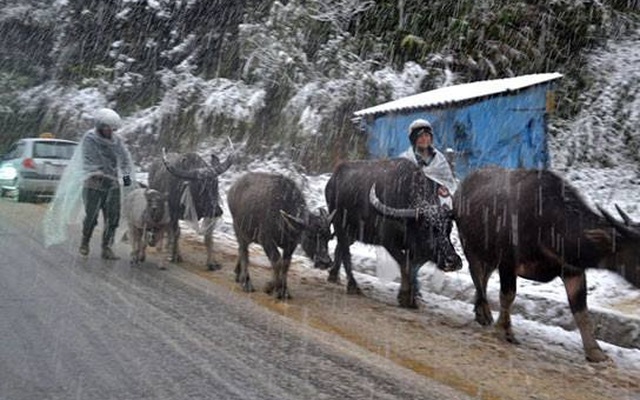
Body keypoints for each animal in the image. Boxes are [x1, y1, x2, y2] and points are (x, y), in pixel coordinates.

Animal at [226, 172, 336, 300]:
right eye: (310, 235)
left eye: (329, 237)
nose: (325, 262)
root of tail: (233, 188)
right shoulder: (266, 240)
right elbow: (277, 261)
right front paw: (270, 287)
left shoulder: (291, 245)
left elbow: (285, 264)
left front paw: (284, 291)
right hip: (238, 229)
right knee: (244, 252)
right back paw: (247, 283)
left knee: (241, 250)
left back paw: (238, 274)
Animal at [324, 158, 460, 308]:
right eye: (427, 227)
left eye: (449, 228)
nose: (452, 261)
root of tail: (333, 179)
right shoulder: (389, 243)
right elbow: (405, 265)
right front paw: (406, 297)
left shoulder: (418, 251)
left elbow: (413, 267)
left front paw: (412, 296)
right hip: (339, 224)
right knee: (345, 252)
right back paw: (353, 286)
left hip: (353, 232)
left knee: (340, 248)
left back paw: (334, 275)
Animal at [456, 166, 640, 362]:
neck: (548, 224)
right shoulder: (507, 262)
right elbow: (507, 296)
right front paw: (504, 330)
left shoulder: (572, 271)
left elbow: (581, 310)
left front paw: (595, 351)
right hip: (469, 246)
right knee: (476, 274)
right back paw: (484, 312)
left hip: (488, 256)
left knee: (484, 278)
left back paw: (481, 313)